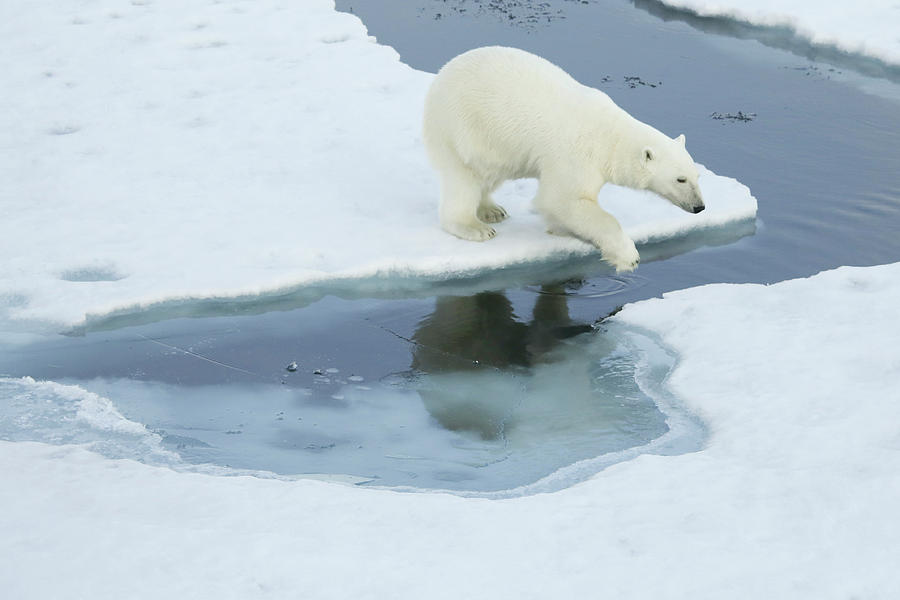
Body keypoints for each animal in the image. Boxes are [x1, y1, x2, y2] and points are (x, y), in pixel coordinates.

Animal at [422, 47, 704, 272]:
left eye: (697, 175)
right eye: (680, 179)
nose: (699, 207)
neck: (609, 136)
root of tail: (440, 77)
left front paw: (560, 229)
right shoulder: (575, 156)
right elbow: (563, 200)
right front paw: (628, 257)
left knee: (491, 173)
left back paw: (492, 210)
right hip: (463, 128)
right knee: (464, 179)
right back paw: (475, 226)